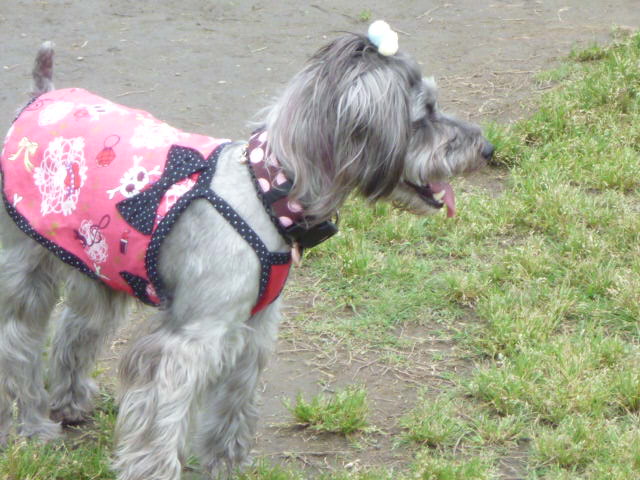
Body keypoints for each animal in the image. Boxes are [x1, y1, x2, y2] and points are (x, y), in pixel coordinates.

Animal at [0, 22, 492, 480]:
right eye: (423, 114)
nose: (486, 148)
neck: (266, 192)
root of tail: (40, 96)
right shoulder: (189, 345)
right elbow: (161, 423)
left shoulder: (252, 333)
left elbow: (233, 410)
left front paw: (225, 465)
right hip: (27, 270)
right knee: (18, 344)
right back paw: (33, 425)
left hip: (101, 265)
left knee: (75, 329)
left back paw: (70, 401)